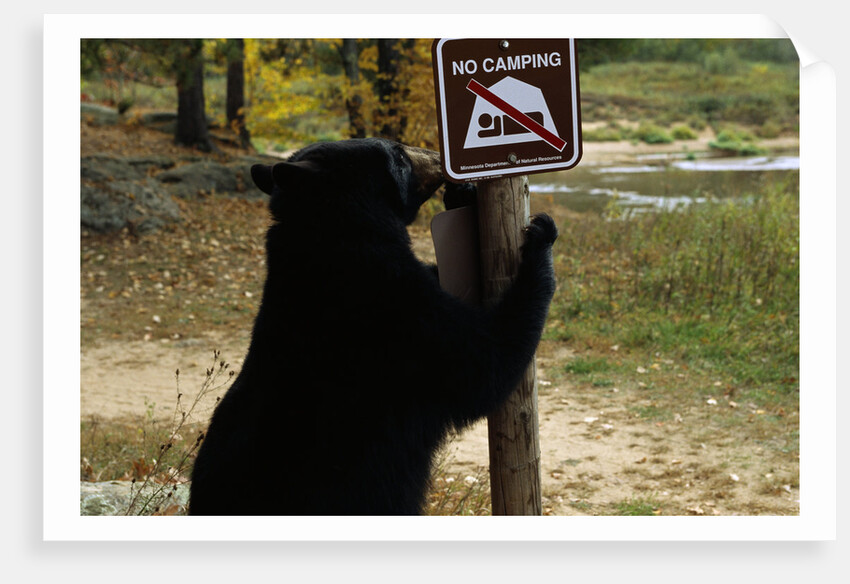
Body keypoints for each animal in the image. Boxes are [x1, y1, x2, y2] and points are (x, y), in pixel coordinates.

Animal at [189, 138, 558, 515]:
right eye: (397, 153)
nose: (438, 158)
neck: (334, 238)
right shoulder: (391, 315)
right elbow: (484, 363)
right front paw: (539, 239)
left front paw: (464, 195)